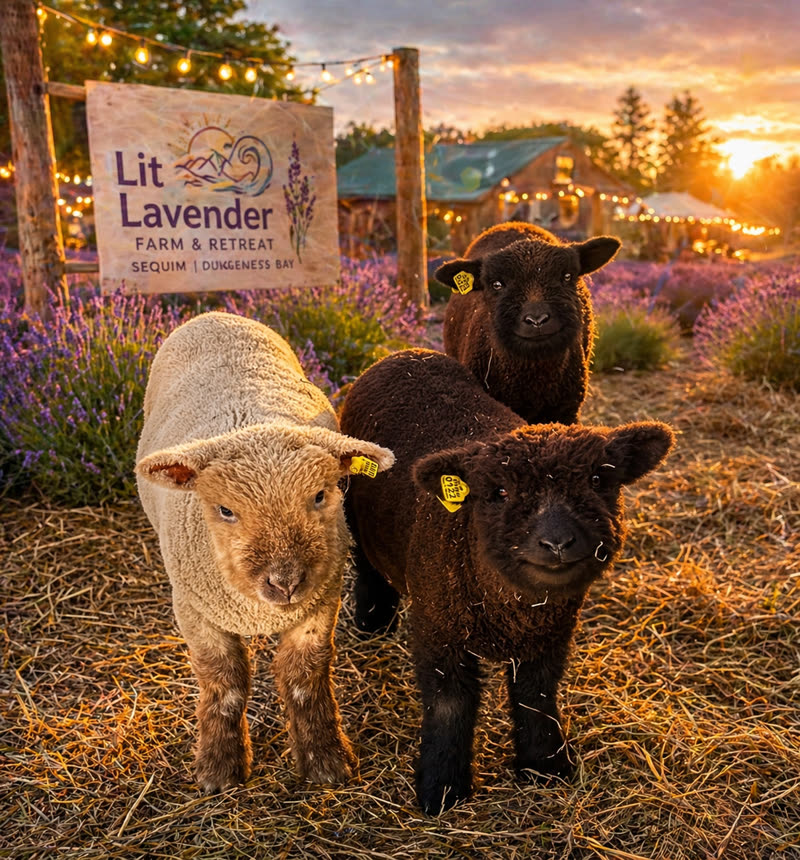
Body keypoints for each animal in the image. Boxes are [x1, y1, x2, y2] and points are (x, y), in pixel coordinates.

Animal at [135, 311, 394, 794]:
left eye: (320, 495)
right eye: (225, 510)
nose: (286, 582)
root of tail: (215, 314)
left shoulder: (321, 603)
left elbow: (304, 677)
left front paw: (324, 760)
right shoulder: (195, 611)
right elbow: (225, 684)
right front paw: (220, 768)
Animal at [340, 348, 673, 814]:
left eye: (598, 480)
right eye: (498, 493)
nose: (556, 542)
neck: (513, 610)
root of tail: (403, 354)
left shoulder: (549, 638)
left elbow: (537, 699)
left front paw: (546, 767)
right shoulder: (438, 632)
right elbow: (450, 708)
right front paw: (441, 789)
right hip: (354, 509)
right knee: (367, 563)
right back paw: (373, 620)